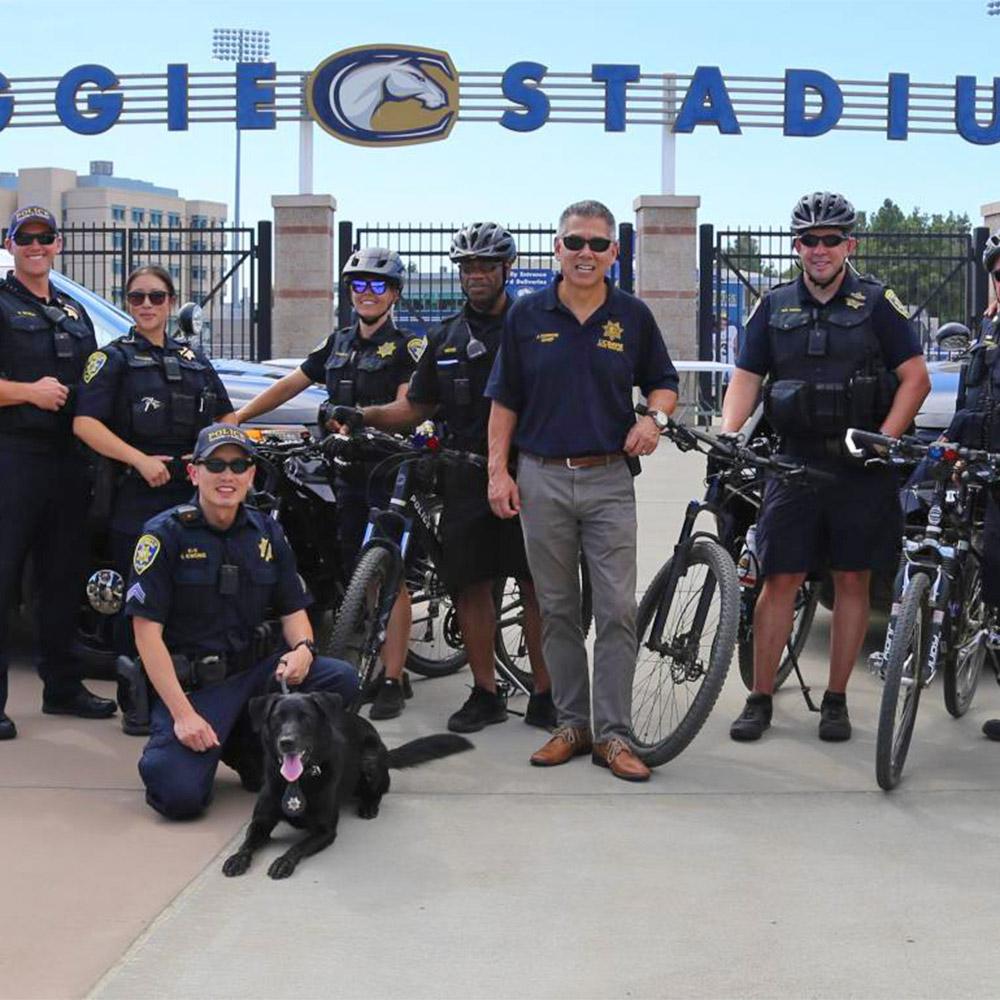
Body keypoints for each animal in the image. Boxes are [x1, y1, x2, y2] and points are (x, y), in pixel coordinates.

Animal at [223, 692, 472, 880]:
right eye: (277, 718)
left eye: (305, 718)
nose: (286, 742)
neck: (298, 781)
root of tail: (385, 750)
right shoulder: (261, 821)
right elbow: (248, 841)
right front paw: (237, 858)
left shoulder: (325, 831)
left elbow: (298, 846)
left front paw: (283, 861)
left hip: (371, 760)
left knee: (379, 791)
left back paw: (369, 806)